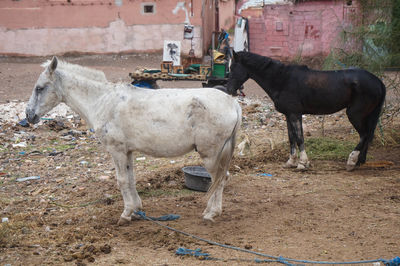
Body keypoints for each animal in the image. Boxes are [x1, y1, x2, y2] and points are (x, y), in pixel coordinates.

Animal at [28, 56, 242, 224]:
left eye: (40, 88)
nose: (29, 115)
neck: (103, 100)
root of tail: (232, 103)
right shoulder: (127, 151)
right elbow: (130, 179)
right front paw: (137, 210)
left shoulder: (117, 151)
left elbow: (122, 181)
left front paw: (126, 214)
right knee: (221, 179)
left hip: (211, 156)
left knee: (220, 179)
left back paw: (211, 213)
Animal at [227, 51, 386, 170]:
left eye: (232, 68)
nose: (229, 89)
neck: (283, 79)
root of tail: (378, 81)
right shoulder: (288, 115)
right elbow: (291, 138)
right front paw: (291, 162)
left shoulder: (295, 114)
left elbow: (299, 138)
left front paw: (303, 163)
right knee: (368, 136)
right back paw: (359, 161)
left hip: (355, 115)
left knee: (364, 135)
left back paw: (351, 161)